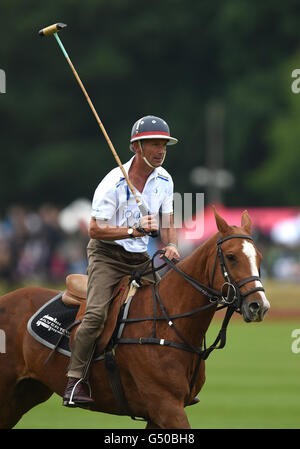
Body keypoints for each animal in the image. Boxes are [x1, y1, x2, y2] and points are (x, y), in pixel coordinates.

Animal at [0, 208, 270, 428]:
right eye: (232, 256)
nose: (259, 306)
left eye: (259, 257)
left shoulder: (160, 413)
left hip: (26, 393)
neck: (168, 324)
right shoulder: (165, 406)